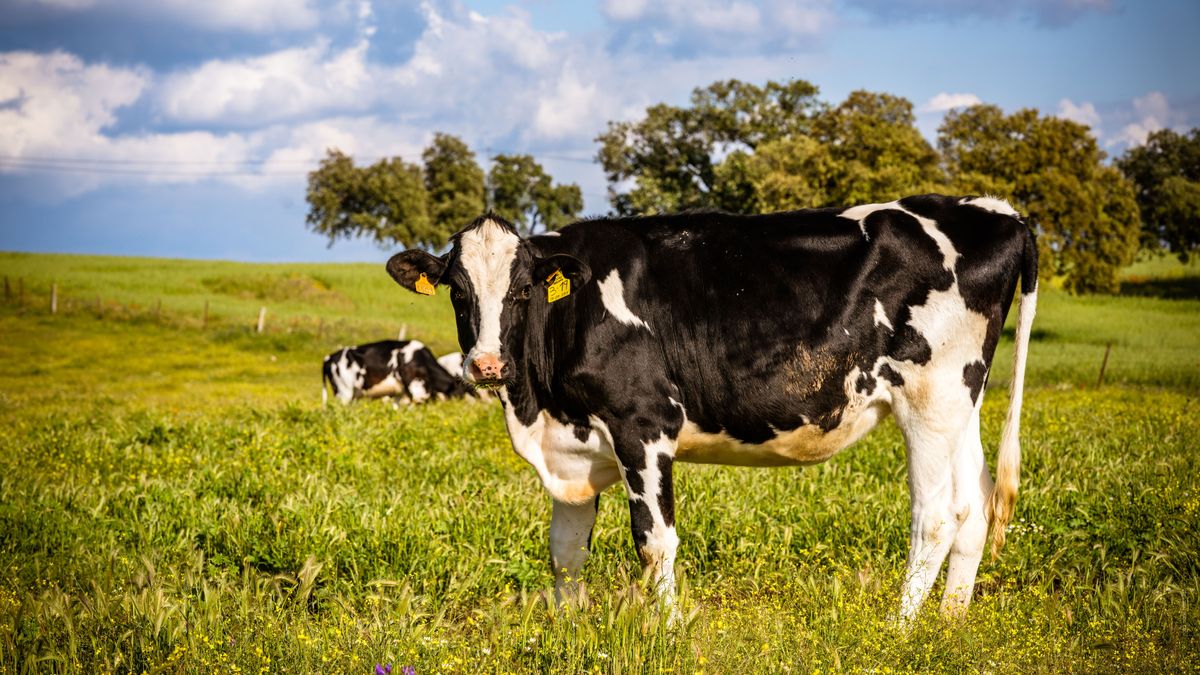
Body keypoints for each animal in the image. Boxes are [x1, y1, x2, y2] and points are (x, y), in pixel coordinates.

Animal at [381, 190, 1032, 619]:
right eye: (457, 291)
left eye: (522, 290)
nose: (488, 365)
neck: (536, 403)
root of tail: (994, 209)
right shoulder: (571, 447)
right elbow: (565, 552)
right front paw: (567, 629)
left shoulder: (643, 424)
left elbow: (655, 542)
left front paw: (666, 630)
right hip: (963, 401)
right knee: (974, 506)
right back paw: (949, 623)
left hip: (930, 397)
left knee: (936, 516)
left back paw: (900, 631)